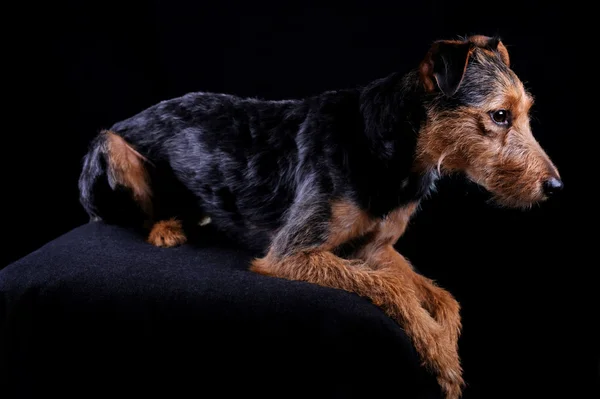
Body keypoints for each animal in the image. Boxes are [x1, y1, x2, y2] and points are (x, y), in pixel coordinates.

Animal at [77, 35, 560, 399]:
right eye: (500, 115)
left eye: (525, 113)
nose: (555, 186)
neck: (388, 146)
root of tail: (135, 115)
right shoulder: (292, 252)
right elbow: (392, 288)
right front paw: (440, 356)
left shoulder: (376, 247)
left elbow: (442, 297)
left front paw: (447, 349)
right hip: (109, 147)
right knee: (123, 212)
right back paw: (166, 228)